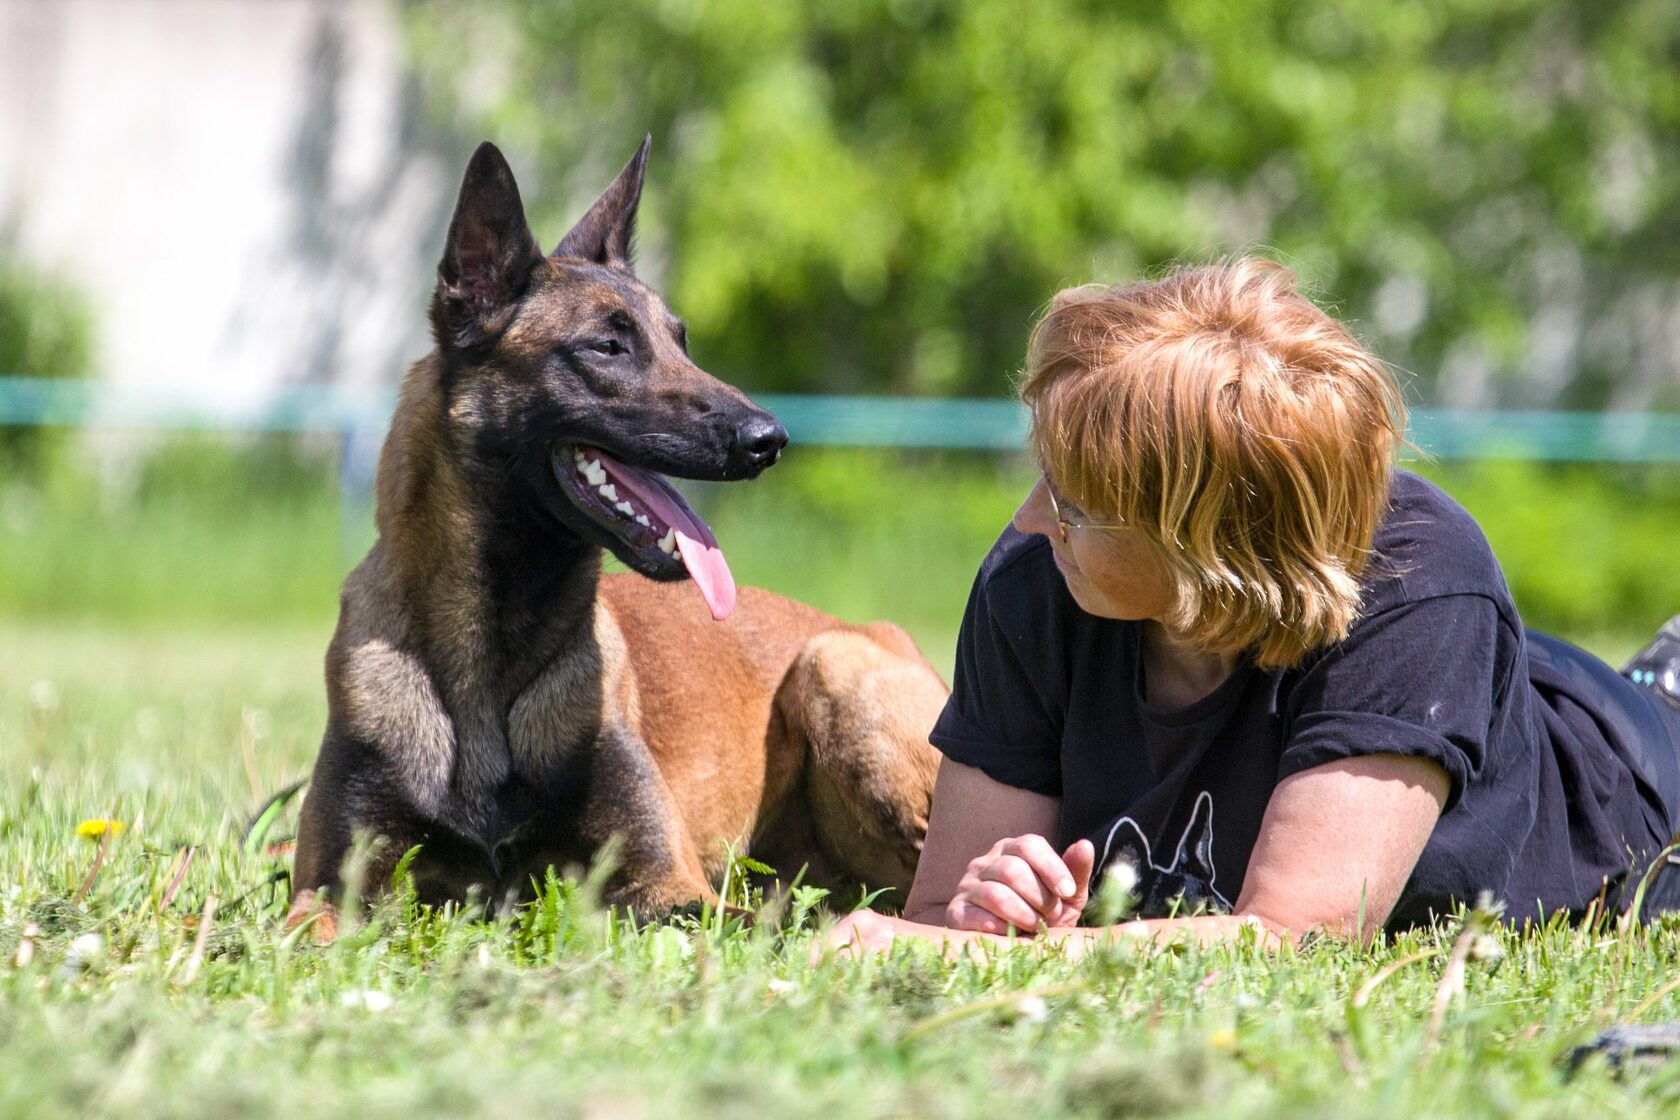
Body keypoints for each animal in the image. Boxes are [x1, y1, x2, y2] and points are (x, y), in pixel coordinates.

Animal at [287, 140, 947, 940]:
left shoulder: (666, 884)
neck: (491, 664)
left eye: (681, 342)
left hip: (834, 669)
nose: (769, 440)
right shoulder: (329, 890)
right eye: (607, 347)